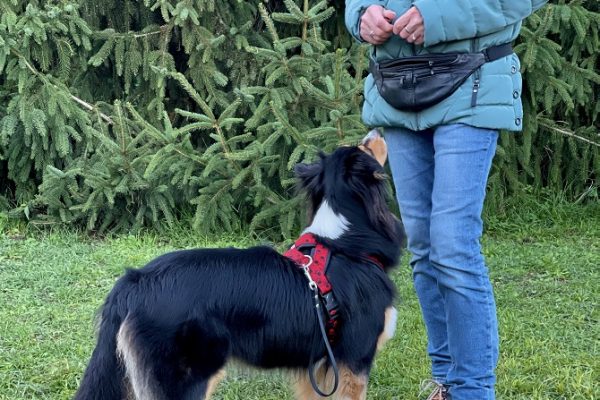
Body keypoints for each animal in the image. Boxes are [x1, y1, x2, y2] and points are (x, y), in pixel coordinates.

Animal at [74, 130, 404, 398]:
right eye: (364, 147)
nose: (378, 129)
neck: (344, 245)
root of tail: (135, 281)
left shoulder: (319, 369)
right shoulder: (353, 360)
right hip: (186, 380)